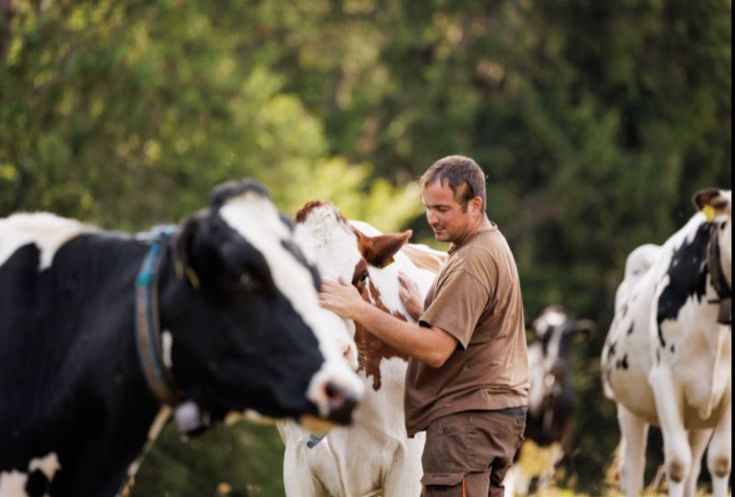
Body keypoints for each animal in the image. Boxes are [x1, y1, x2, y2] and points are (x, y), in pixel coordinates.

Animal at [604, 188, 732, 496]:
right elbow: (676, 464)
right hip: (629, 406)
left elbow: (720, 461)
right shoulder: (664, 379)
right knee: (633, 468)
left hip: (699, 415)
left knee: (696, 466)